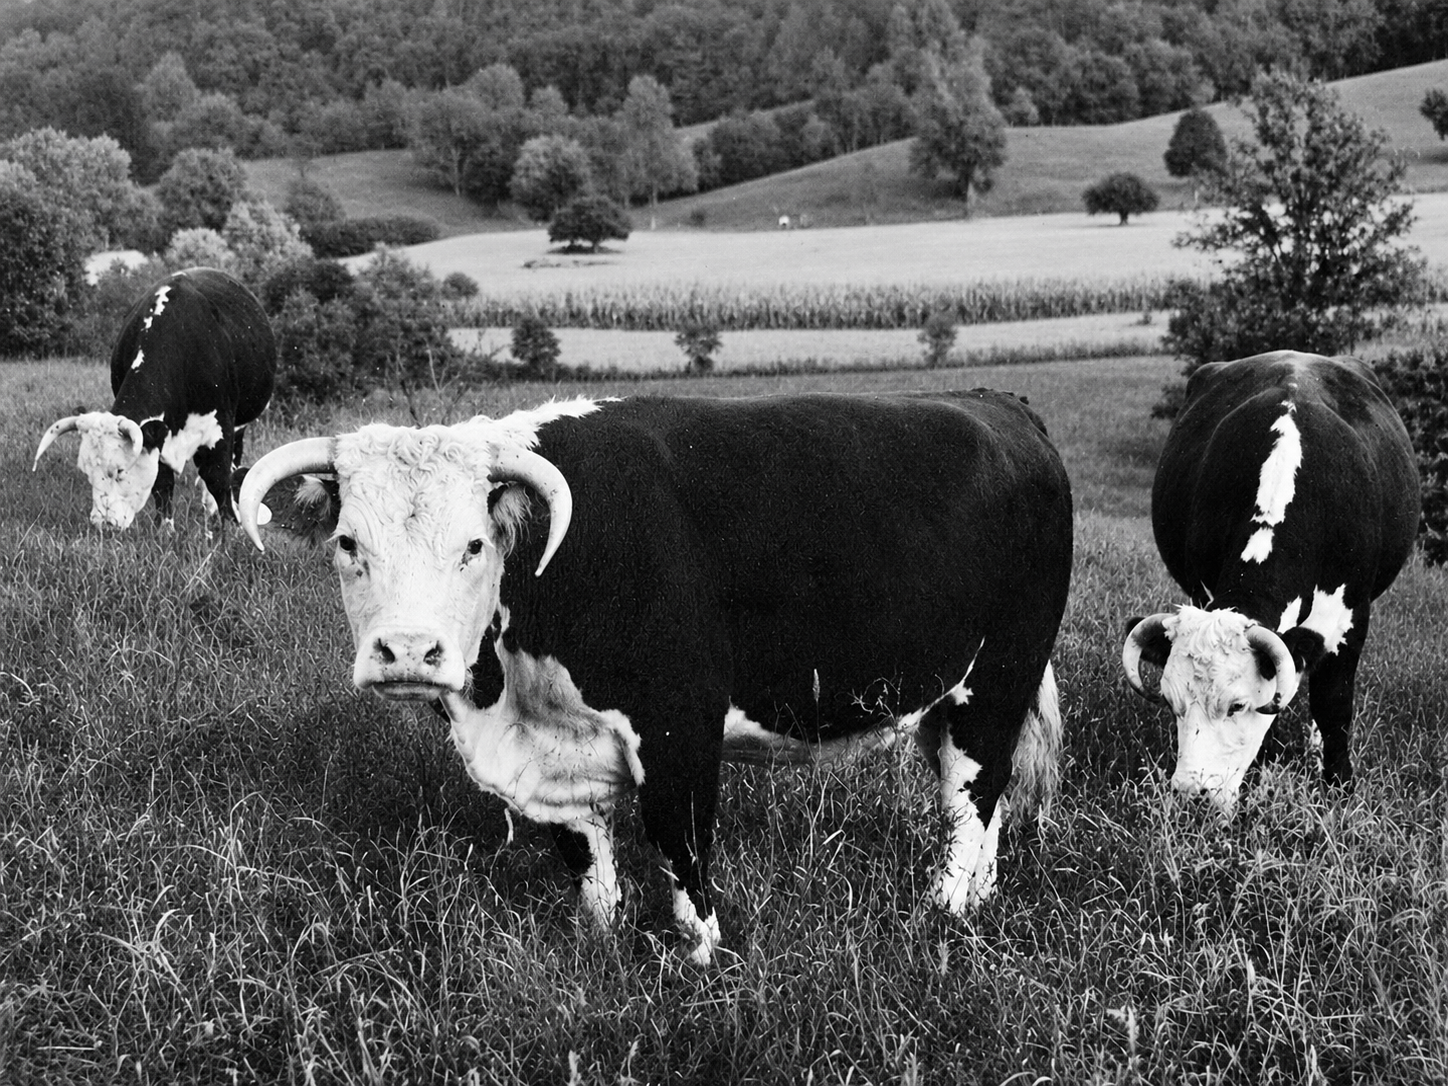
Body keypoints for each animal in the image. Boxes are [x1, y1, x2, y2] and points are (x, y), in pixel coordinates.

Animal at [33, 266, 276, 531]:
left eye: (120, 470)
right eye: (88, 473)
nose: (102, 523)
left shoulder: (219, 425)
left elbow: (218, 477)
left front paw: (232, 525)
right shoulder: (158, 439)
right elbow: (162, 482)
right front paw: (164, 528)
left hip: (240, 426)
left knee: (231, 463)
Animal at [237, 390, 1074, 963]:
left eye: (474, 545)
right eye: (349, 543)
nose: (409, 650)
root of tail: (999, 405)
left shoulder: (679, 729)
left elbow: (682, 851)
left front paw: (704, 961)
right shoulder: (557, 759)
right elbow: (585, 859)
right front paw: (599, 946)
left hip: (997, 677)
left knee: (969, 801)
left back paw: (945, 911)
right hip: (949, 696)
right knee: (985, 799)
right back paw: (979, 899)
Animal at [1122, 351, 1420, 813]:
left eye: (1237, 704)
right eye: (1171, 703)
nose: (1193, 795)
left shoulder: (1352, 617)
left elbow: (1334, 703)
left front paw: (1339, 786)